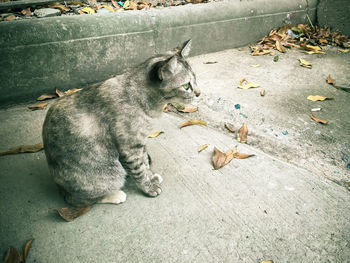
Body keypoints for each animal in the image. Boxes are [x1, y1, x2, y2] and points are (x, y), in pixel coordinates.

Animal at [41, 39, 200, 208]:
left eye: (195, 79)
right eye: (186, 86)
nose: (199, 93)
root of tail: (60, 189)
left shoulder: (140, 142)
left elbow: (144, 162)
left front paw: (151, 176)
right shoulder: (129, 147)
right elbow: (139, 170)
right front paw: (148, 186)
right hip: (110, 174)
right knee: (78, 200)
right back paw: (114, 195)